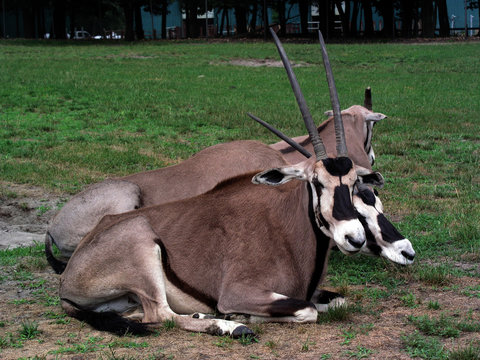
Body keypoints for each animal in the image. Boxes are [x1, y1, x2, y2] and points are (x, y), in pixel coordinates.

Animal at [57, 31, 386, 338]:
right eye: (317, 182)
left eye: (355, 183)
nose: (354, 238)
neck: (287, 228)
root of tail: (68, 276)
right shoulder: (239, 292)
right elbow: (307, 310)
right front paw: (241, 316)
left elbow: (340, 300)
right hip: (143, 252)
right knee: (161, 315)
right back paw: (230, 325)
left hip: (126, 299)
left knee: (143, 313)